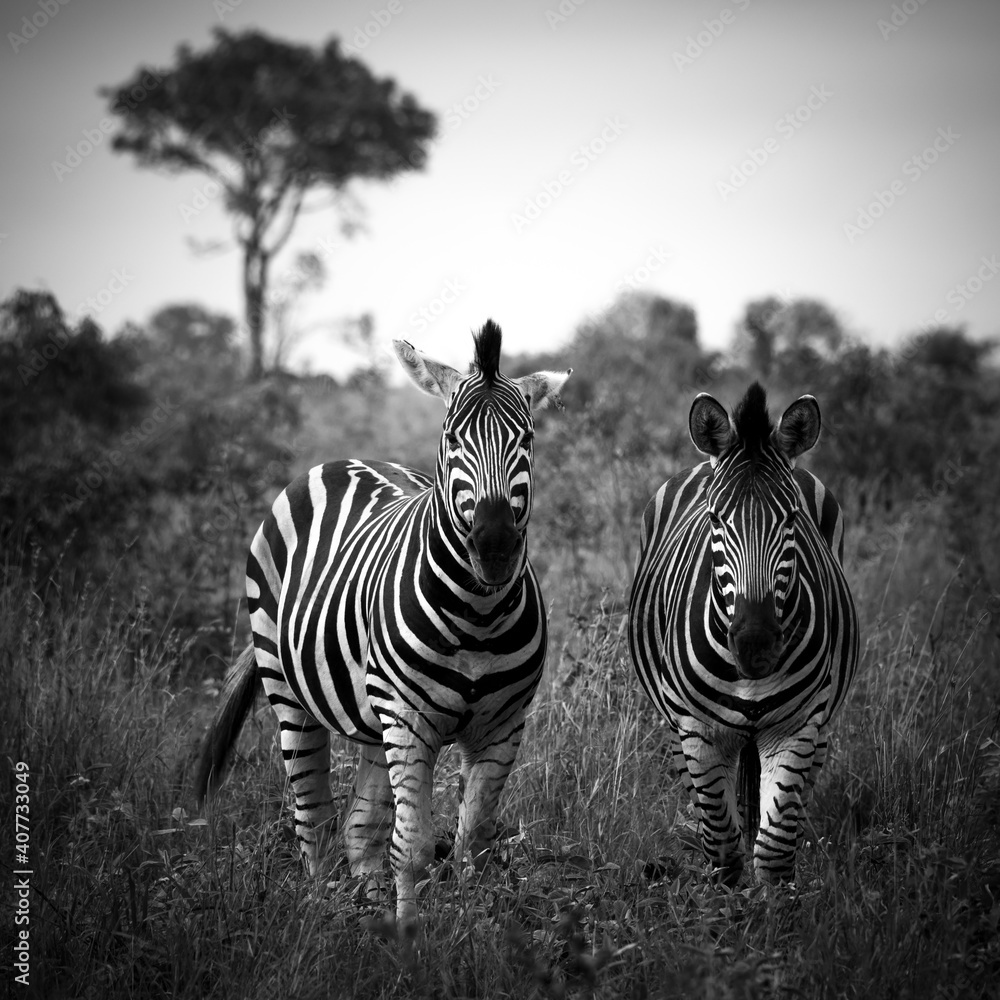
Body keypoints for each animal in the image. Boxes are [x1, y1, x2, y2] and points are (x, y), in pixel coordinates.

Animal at [196, 320, 571, 924]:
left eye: (528, 440)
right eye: (452, 439)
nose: (494, 547)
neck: (479, 615)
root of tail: (339, 461)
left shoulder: (505, 724)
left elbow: (473, 842)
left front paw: (473, 934)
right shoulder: (410, 719)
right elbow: (413, 846)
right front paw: (412, 940)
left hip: (376, 721)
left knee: (358, 829)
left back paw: (371, 915)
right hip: (292, 693)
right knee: (314, 821)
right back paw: (325, 916)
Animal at [628, 382, 858, 885]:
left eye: (792, 519)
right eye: (715, 519)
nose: (756, 647)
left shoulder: (798, 727)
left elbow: (773, 852)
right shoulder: (697, 730)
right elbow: (725, 851)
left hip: (820, 725)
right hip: (675, 728)